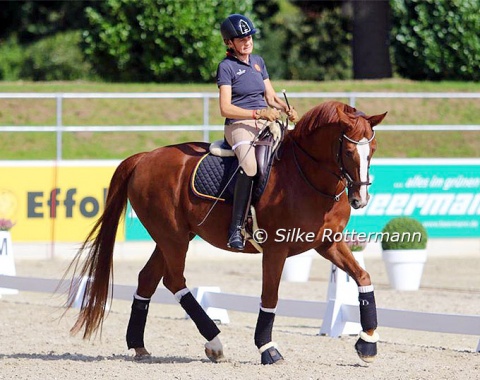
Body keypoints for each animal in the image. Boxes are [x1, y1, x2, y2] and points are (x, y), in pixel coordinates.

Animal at [65, 100, 386, 366]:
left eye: (372, 151)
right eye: (348, 151)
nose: (360, 199)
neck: (306, 175)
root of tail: (144, 158)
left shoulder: (327, 243)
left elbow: (363, 277)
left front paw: (367, 343)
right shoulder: (276, 249)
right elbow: (270, 297)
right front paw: (268, 349)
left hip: (171, 236)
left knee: (148, 279)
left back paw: (138, 345)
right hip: (173, 237)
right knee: (174, 280)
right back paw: (215, 343)